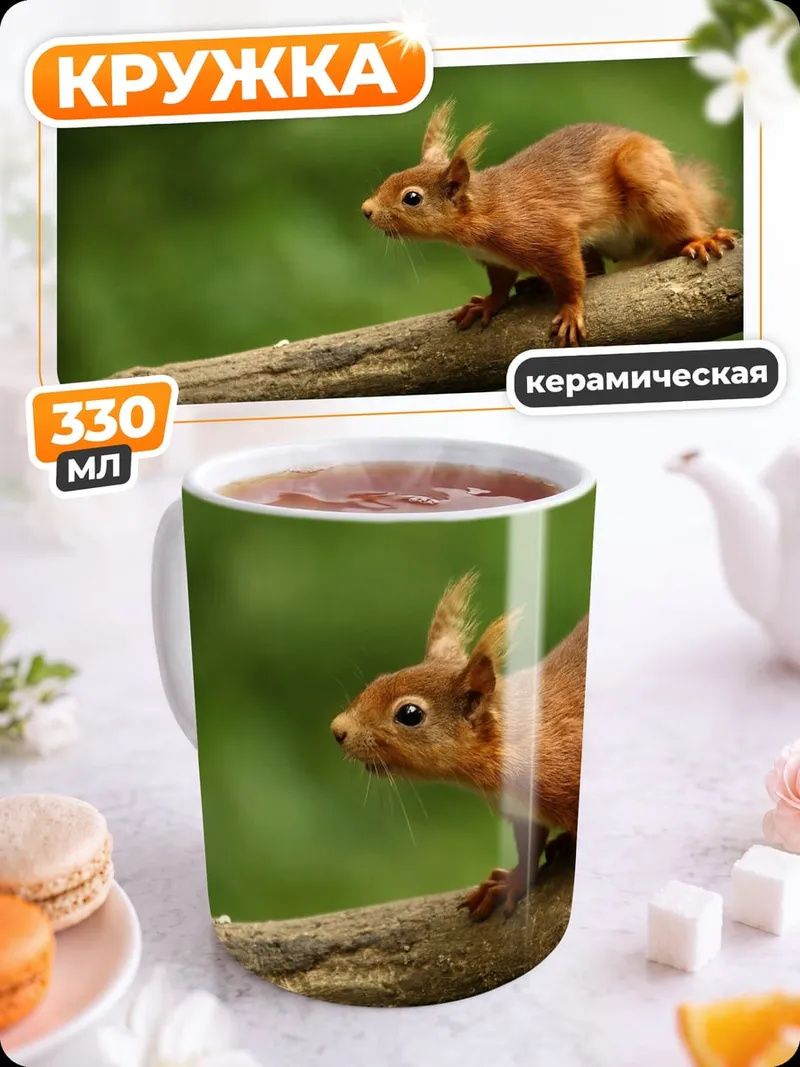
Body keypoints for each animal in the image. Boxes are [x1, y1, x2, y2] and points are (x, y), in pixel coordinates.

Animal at [330, 572, 589, 921]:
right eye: (379, 680)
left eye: (409, 714)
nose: (338, 729)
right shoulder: (520, 806)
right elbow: (529, 842)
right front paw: (510, 882)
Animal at [361, 101, 736, 347]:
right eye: (391, 178)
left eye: (412, 198)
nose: (366, 210)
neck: (485, 211)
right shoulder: (496, 260)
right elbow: (501, 283)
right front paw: (488, 303)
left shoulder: (549, 233)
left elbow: (571, 277)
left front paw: (570, 311)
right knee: (596, 268)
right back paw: (536, 285)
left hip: (645, 176)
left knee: (678, 224)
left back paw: (700, 240)